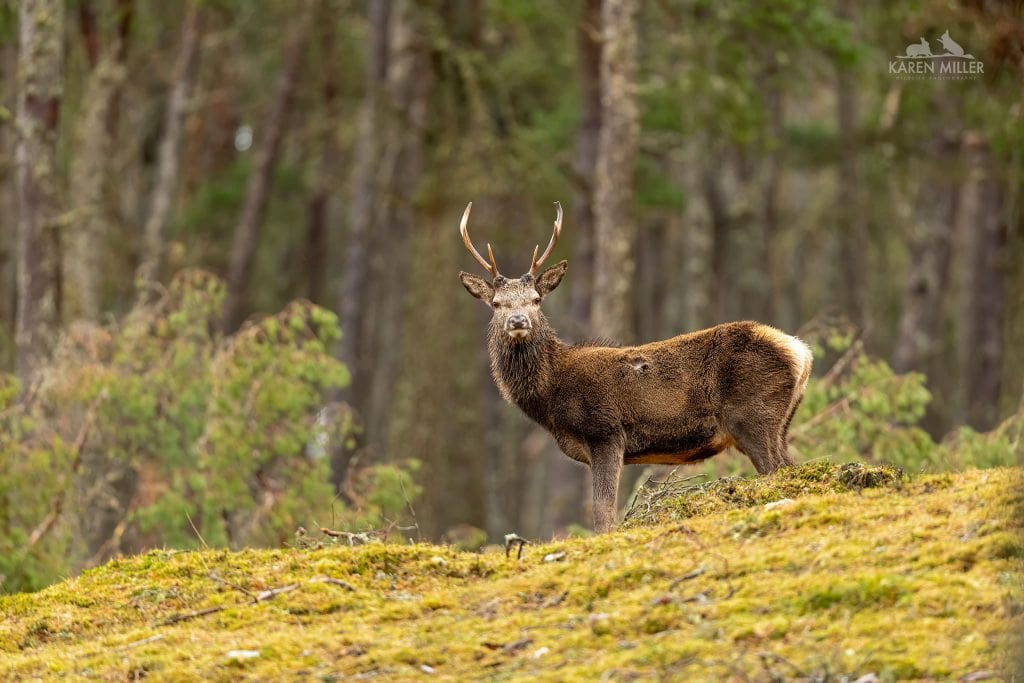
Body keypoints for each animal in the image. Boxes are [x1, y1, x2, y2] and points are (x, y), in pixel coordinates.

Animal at [458, 202, 813, 532]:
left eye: (536, 299)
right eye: (496, 304)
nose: (518, 321)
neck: (550, 397)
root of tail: (801, 351)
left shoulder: (605, 432)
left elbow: (603, 513)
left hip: (752, 414)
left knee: (778, 470)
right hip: (779, 423)